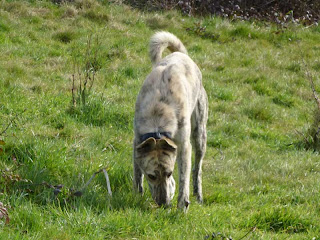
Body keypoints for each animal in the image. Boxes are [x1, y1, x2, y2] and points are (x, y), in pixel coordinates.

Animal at [132, 31, 208, 210]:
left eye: (169, 173)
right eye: (151, 176)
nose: (164, 203)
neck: (158, 117)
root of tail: (182, 54)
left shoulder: (184, 146)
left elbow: (184, 179)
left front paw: (182, 205)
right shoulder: (137, 140)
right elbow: (137, 173)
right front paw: (138, 194)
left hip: (199, 133)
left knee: (197, 169)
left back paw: (198, 195)